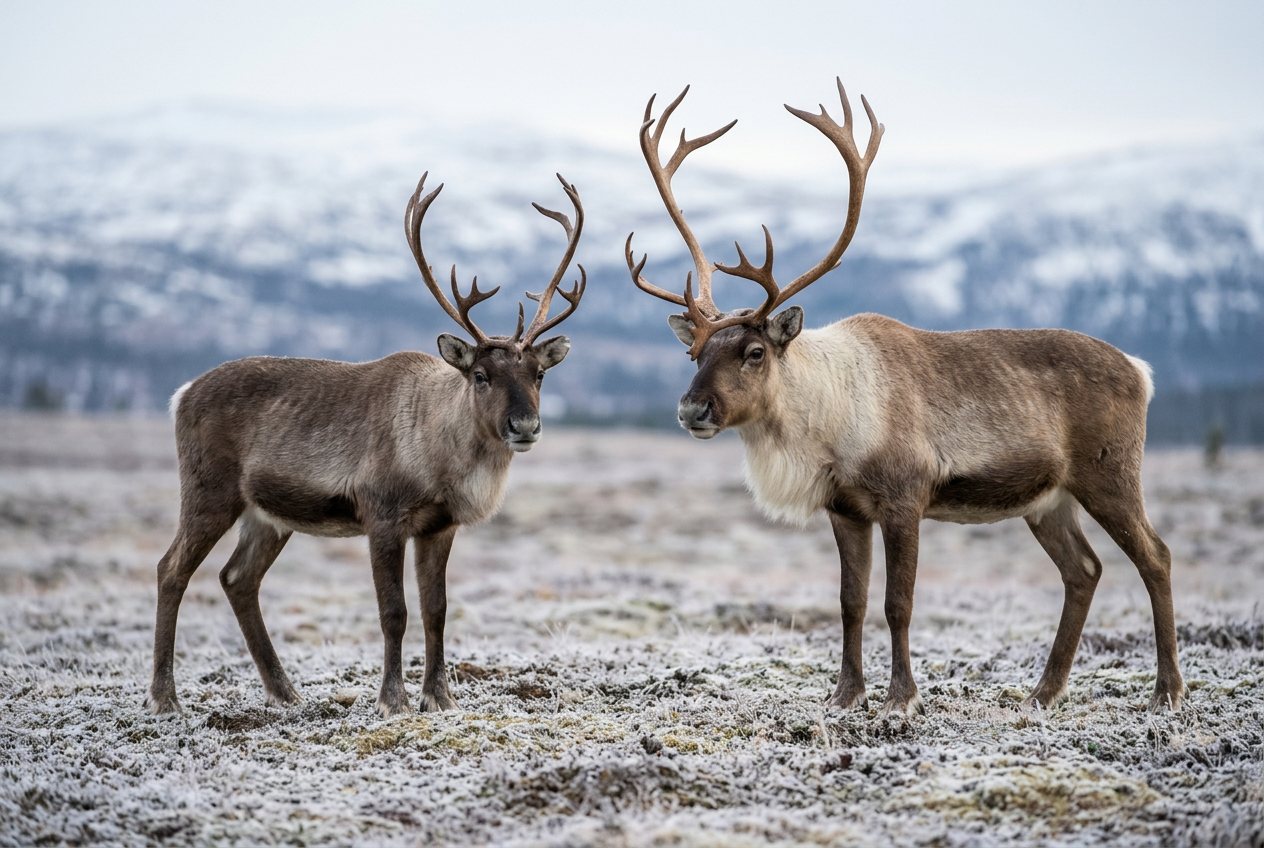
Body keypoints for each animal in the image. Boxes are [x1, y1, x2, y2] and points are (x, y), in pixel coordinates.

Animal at [147, 172, 586, 718]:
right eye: (481, 375)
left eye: (539, 374)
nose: (524, 425)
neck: (440, 456)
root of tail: (181, 394)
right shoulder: (383, 516)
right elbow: (393, 611)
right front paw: (393, 699)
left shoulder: (439, 527)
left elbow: (437, 609)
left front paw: (440, 697)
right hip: (210, 492)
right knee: (171, 569)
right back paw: (165, 697)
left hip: (268, 515)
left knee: (237, 578)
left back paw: (285, 691)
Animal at [626, 79, 1186, 717]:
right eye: (695, 353)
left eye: (754, 351)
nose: (691, 409)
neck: (828, 419)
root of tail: (1141, 371)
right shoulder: (845, 510)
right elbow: (851, 602)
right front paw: (845, 695)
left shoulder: (905, 499)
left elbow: (899, 603)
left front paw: (901, 697)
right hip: (1048, 501)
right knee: (1084, 570)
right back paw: (1044, 692)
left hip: (1109, 475)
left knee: (1155, 556)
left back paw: (1167, 691)